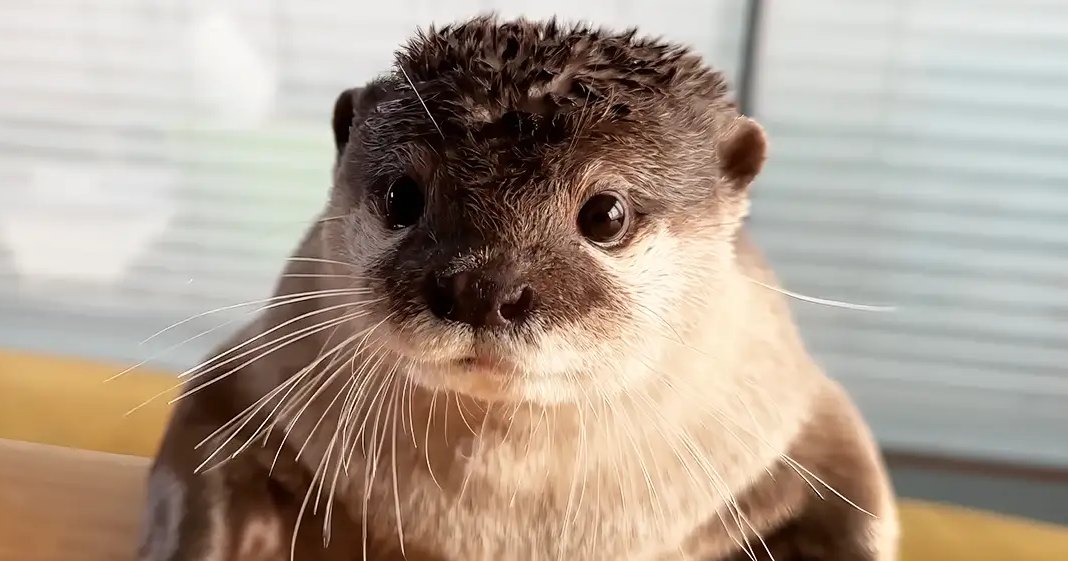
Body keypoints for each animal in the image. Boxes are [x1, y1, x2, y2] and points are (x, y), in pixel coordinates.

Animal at [137, 15, 899, 561]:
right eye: (401, 195)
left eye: (606, 214)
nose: (482, 285)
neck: (497, 530)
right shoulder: (252, 370)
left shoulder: (796, 413)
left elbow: (863, 510)